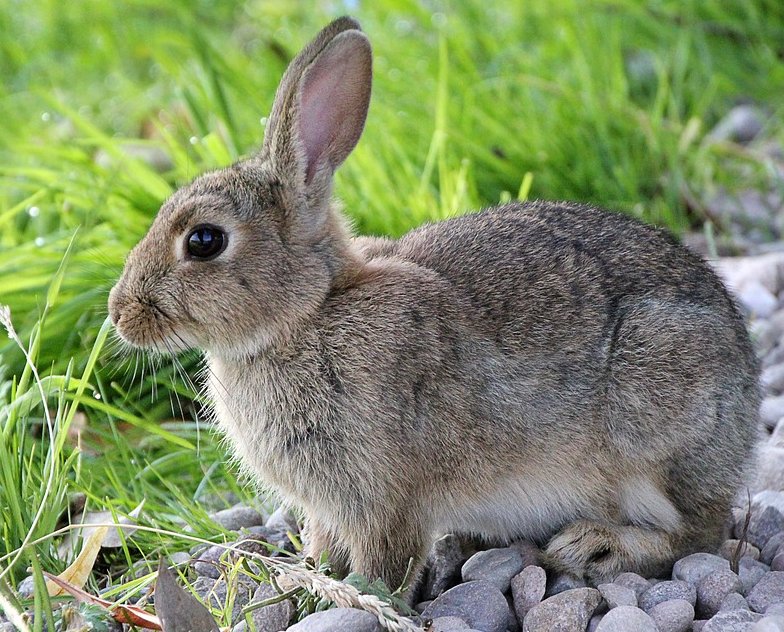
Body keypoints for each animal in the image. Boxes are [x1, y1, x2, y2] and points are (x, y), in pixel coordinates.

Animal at [108, 16, 760, 592]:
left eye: (204, 241)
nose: (120, 312)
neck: (308, 313)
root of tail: (748, 399)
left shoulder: (383, 493)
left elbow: (386, 558)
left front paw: (355, 594)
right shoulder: (329, 504)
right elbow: (326, 541)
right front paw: (309, 574)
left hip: (656, 424)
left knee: (699, 532)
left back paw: (596, 545)